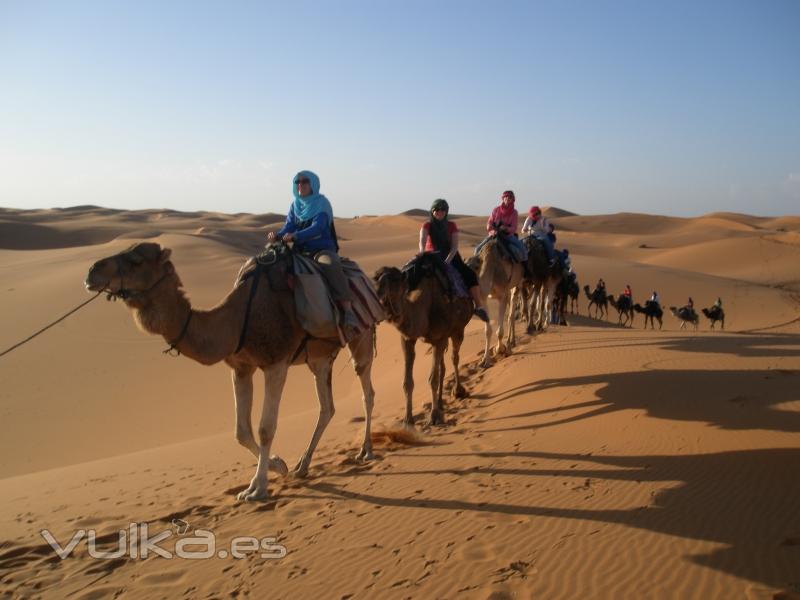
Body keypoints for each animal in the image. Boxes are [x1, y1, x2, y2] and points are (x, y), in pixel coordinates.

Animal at [86, 243, 380, 502]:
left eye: (136, 260)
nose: (92, 271)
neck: (236, 320)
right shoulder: (241, 368)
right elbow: (241, 431)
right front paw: (278, 465)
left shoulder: (275, 363)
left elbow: (265, 428)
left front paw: (257, 488)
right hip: (318, 357)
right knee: (327, 406)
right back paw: (302, 465)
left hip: (361, 337)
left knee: (366, 390)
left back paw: (365, 450)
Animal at [372, 253, 472, 426]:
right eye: (375, 278)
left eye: (395, 279)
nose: (377, 294)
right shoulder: (408, 339)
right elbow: (407, 382)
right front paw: (407, 419)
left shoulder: (439, 338)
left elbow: (432, 379)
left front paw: (434, 416)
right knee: (443, 366)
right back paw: (440, 403)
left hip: (458, 330)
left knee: (454, 357)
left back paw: (458, 391)